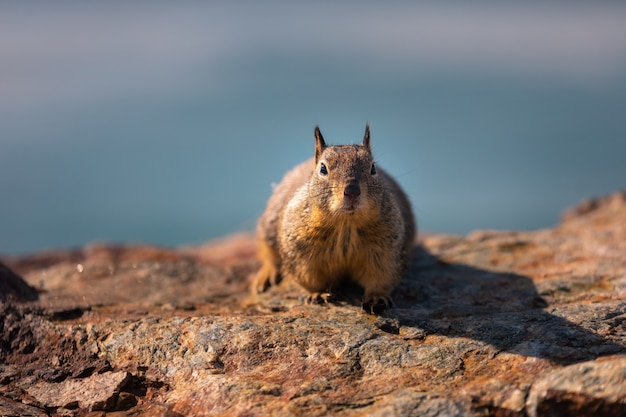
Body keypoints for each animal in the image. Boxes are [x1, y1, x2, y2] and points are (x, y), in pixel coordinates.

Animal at [249, 123, 414, 312]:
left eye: (373, 168)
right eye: (323, 169)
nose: (352, 191)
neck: (346, 224)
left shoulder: (387, 252)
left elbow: (382, 277)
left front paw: (376, 297)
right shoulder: (300, 252)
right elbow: (308, 277)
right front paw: (318, 294)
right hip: (269, 226)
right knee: (267, 252)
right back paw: (266, 276)